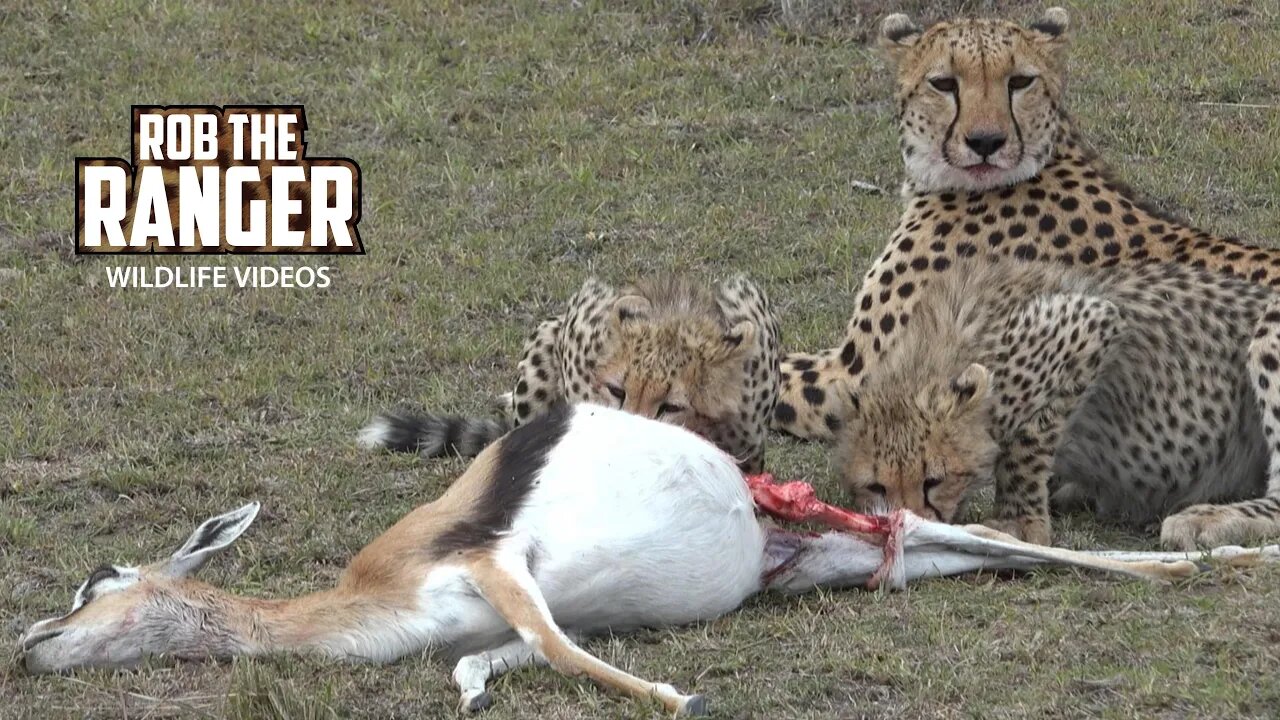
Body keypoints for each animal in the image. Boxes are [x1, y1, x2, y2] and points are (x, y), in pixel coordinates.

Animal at [834, 254, 1280, 545]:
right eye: (876, 487)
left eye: (933, 480)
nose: (908, 528)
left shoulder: (1089, 322)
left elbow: (1025, 440)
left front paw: (1019, 525)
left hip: (1270, 327)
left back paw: (1210, 518)